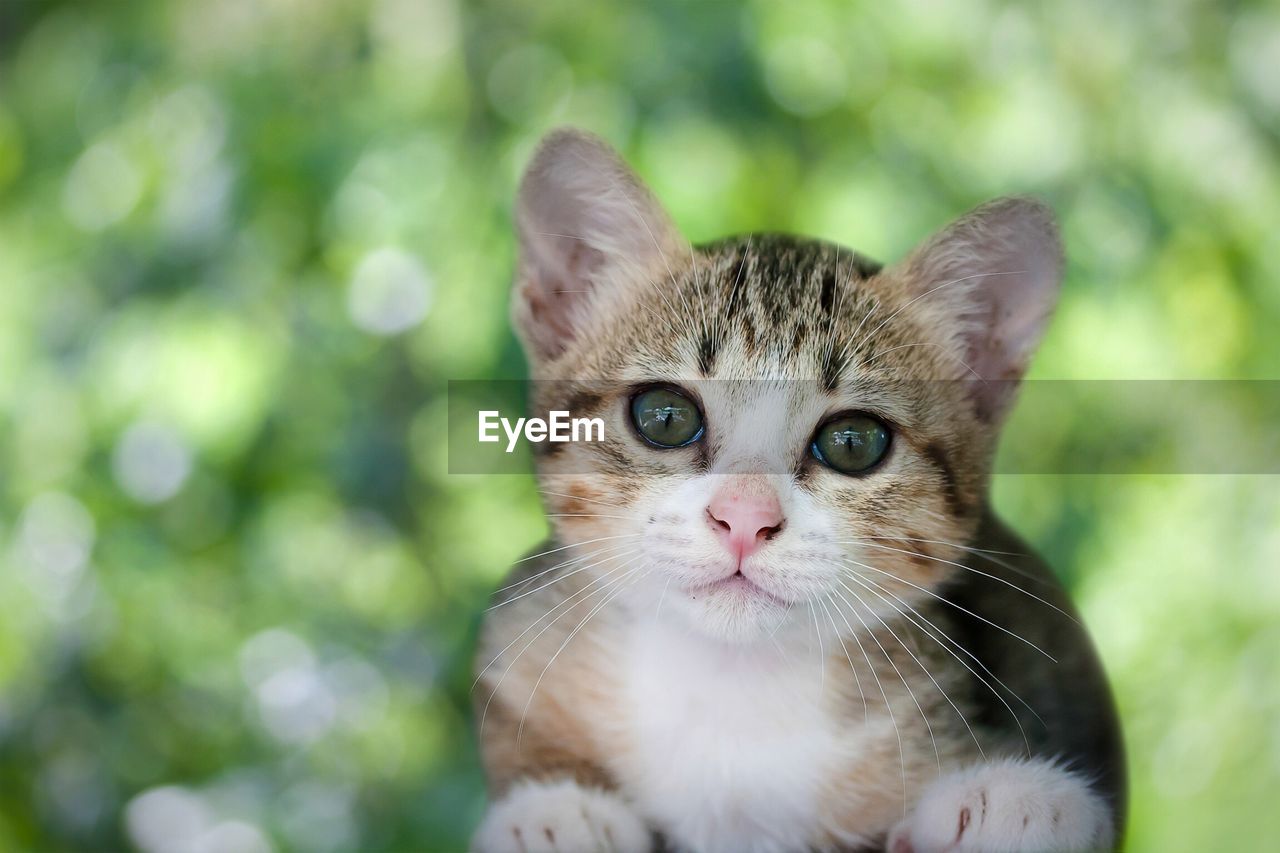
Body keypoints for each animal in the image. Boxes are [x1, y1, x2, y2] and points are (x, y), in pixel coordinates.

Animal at [471, 128, 1121, 850]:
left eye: (853, 442)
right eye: (665, 417)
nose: (744, 517)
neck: (732, 693)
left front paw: (1019, 801)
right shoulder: (519, 636)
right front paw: (556, 808)